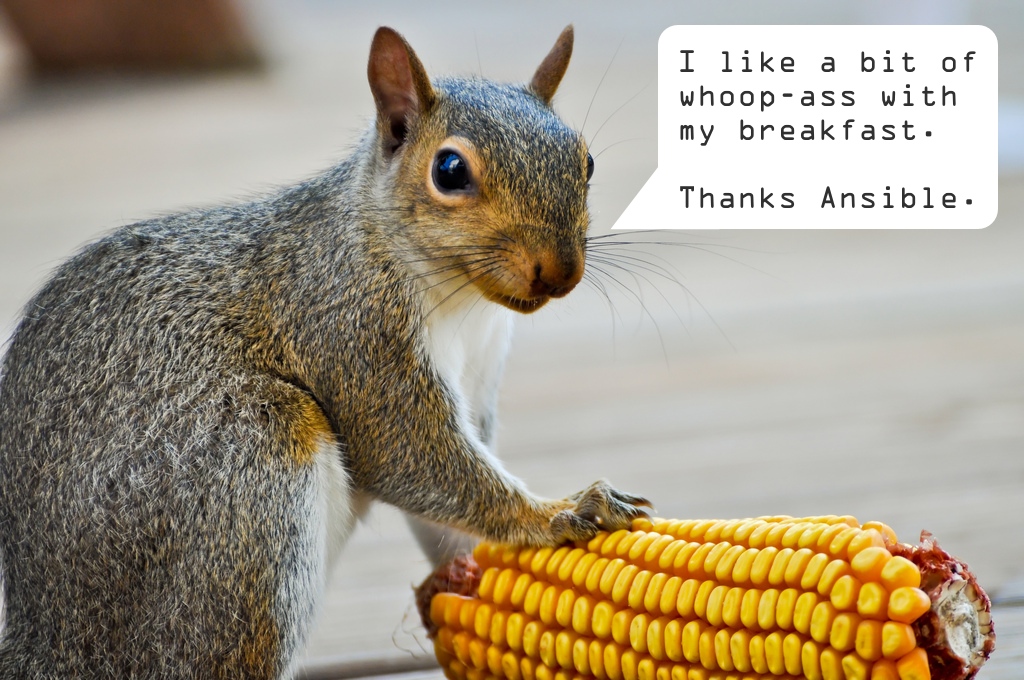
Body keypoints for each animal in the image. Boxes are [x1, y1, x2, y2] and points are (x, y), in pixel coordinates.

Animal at [0, 25, 650, 679]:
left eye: (586, 160)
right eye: (449, 170)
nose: (560, 270)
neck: (460, 299)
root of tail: (52, 636)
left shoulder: (478, 370)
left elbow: (440, 506)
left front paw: (464, 574)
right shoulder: (354, 331)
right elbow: (412, 458)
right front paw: (561, 512)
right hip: (246, 477)